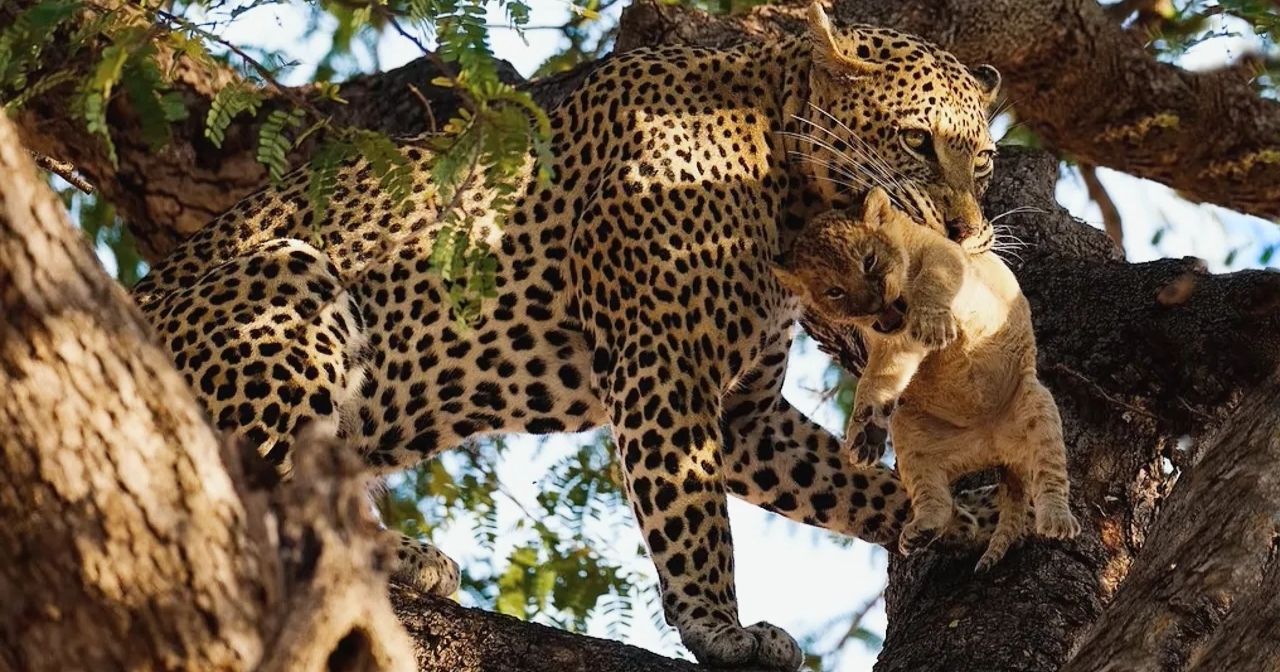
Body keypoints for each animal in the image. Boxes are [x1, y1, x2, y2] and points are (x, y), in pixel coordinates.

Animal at [131, 3, 1005, 668]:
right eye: (917, 141)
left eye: (986, 164)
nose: (970, 233)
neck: (788, 188)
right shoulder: (664, 363)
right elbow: (691, 516)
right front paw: (719, 629)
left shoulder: (745, 416)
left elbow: (843, 485)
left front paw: (964, 517)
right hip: (290, 276)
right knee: (254, 489)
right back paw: (399, 554)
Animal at [773, 187, 1082, 573]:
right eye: (834, 292)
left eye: (869, 261)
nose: (875, 306)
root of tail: (992, 444)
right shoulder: (890, 346)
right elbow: (878, 378)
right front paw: (863, 432)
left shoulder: (946, 255)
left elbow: (933, 279)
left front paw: (933, 324)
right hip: (910, 433)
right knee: (934, 495)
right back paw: (922, 528)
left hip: (1035, 403)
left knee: (1049, 472)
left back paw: (1057, 519)